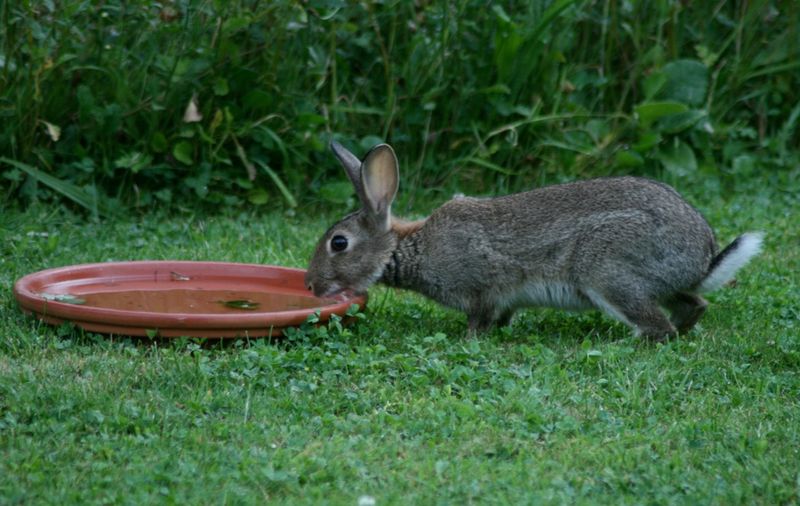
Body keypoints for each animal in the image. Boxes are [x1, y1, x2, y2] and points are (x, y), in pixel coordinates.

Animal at [305, 141, 764, 341]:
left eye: (339, 244)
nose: (310, 285)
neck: (410, 246)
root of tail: (702, 256)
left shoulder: (482, 287)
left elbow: (480, 318)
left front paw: (471, 340)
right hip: (654, 282)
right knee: (692, 305)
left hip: (607, 271)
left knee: (657, 326)